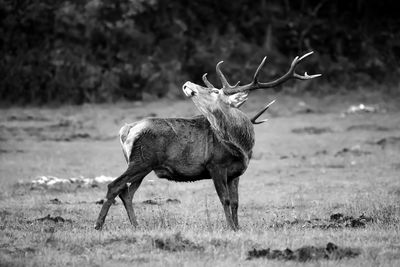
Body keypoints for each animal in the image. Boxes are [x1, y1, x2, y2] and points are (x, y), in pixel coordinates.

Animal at [94, 51, 322, 231]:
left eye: (213, 91)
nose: (187, 83)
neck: (242, 146)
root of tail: (127, 129)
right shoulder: (215, 165)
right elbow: (225, 199)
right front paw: (229, 228)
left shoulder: (235, 173)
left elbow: (236, 201)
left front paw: (238, 227)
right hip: (141, 160)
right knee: (114, 185)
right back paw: (98, 225)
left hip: (143, 165)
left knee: (127, 192)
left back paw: (136, 225)